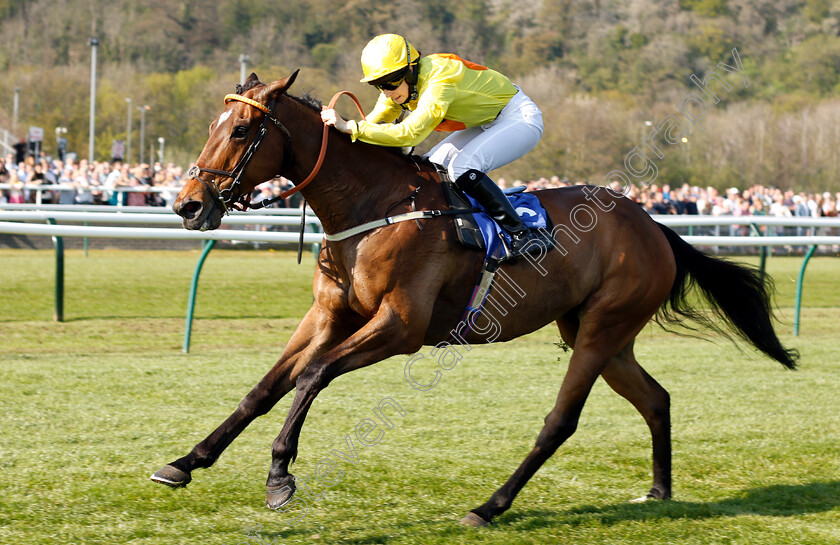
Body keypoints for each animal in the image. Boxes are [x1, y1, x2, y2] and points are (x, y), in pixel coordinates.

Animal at [154, 70, 796, 524]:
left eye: (241, 131)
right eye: (212, 126)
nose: (187, 205)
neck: (371, 206)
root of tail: (654, 225)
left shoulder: (401, 326)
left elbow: (312, 376)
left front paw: (280, 477)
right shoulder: (330, 313)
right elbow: (265, 387)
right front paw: (186, 462)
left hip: (601, 330)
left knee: (561, 421)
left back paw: (489, 507)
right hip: (601, 333)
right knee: (656, 398)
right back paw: (659, 489)